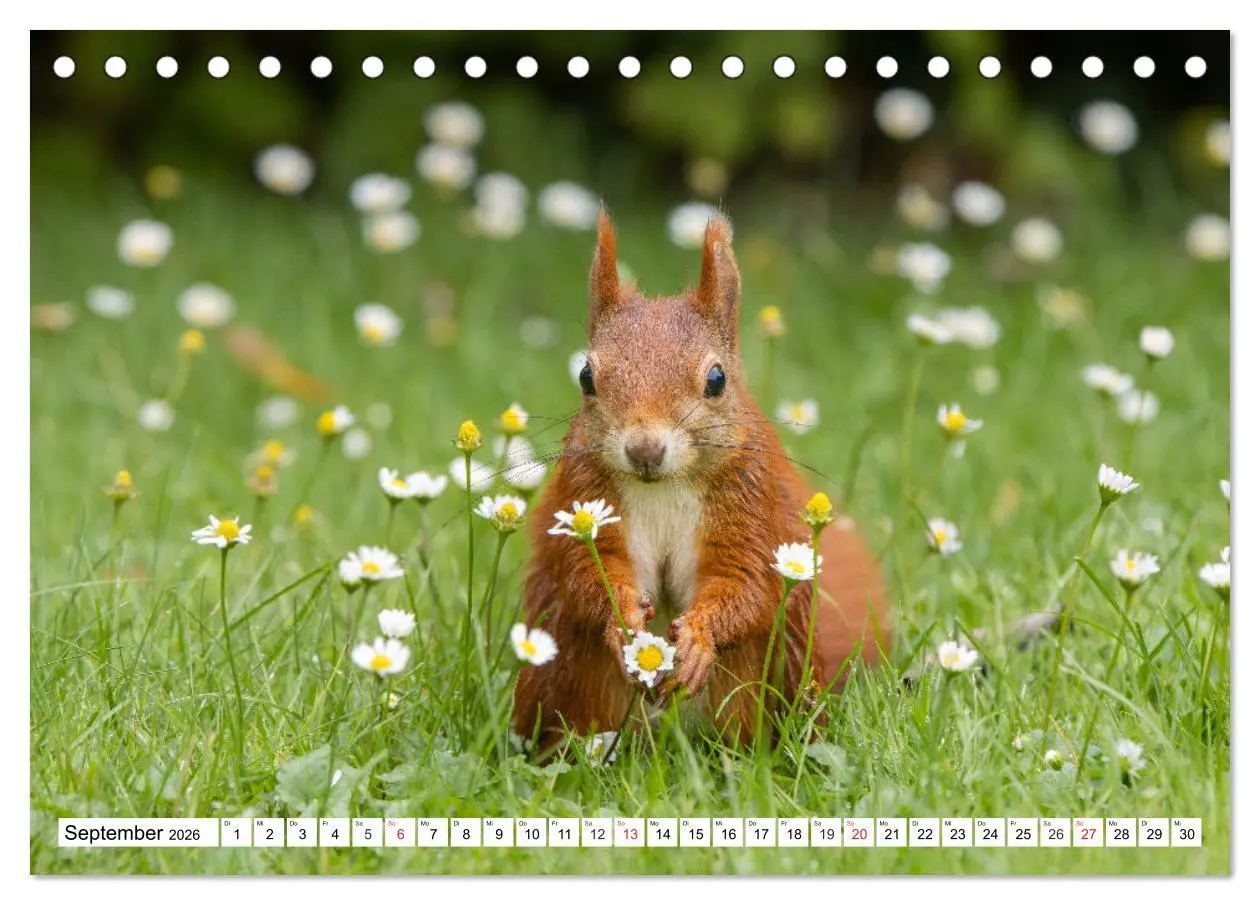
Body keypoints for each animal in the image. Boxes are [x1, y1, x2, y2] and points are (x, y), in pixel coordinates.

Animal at [512, 210, 889, 752]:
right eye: (586, 376)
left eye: (716, 380)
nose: (645, 449)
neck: (663, 488)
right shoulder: (584, 501)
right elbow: (588, 574)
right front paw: (623, 621)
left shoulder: (750, 507)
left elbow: (745, 584)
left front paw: (697, 641)